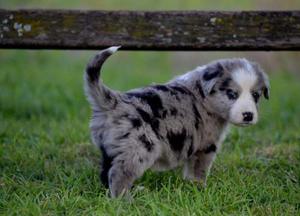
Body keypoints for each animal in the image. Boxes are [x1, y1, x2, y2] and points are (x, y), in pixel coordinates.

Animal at [84, 46, 270, 198]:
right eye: (232, 94)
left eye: (256, 95)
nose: (248, 115)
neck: (204, 95)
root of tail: (114, 101)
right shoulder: (206, 145)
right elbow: (200, 169)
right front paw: (200, 187)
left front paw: (191, 186)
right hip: (139, 147)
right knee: (119, 173)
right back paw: (125, 200)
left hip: (110, 149)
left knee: (106, 173)